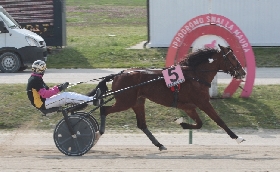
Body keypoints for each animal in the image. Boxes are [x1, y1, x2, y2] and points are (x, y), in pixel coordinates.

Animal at [88, 44, 246, 150]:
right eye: (232, 57)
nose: (242, 72)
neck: (196, 75)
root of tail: (119, 74)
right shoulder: (203, 102)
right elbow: (219, 121)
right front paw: (237, 138)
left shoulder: (189, 106)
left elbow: (200, 123)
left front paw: (181, 122)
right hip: (125, 101)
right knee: (104, 110)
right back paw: (99, 133)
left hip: (138, 102)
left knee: (142, 125)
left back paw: (159, 144)